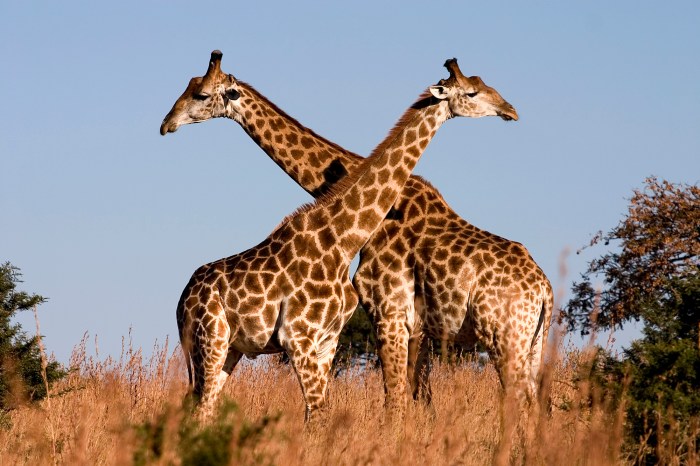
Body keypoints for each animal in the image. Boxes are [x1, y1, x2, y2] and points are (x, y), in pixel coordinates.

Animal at [161, 52, 549, 421]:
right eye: (474, 90)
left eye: (200, 94)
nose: (166, 124)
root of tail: (545, 290)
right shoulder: (396, 324)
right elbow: (407, 403)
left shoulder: (384, 316)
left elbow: (398, 403)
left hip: (508, 338)